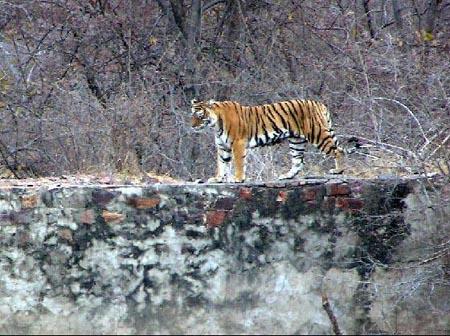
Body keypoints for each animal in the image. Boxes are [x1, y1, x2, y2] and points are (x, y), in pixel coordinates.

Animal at [191, 98, 344, 182]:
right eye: (192, 115)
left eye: (200, 116)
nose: (192, 126)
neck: (215, 125)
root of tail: (319, 103)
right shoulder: (223, 147)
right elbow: (221, 164)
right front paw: (217, 179)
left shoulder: (238, 143)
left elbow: (239, 163)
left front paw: (238, 179)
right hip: (296, 141)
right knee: (298, 162)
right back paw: (286, 176)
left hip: (317, 134)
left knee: (338, 151)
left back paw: (338, 171)